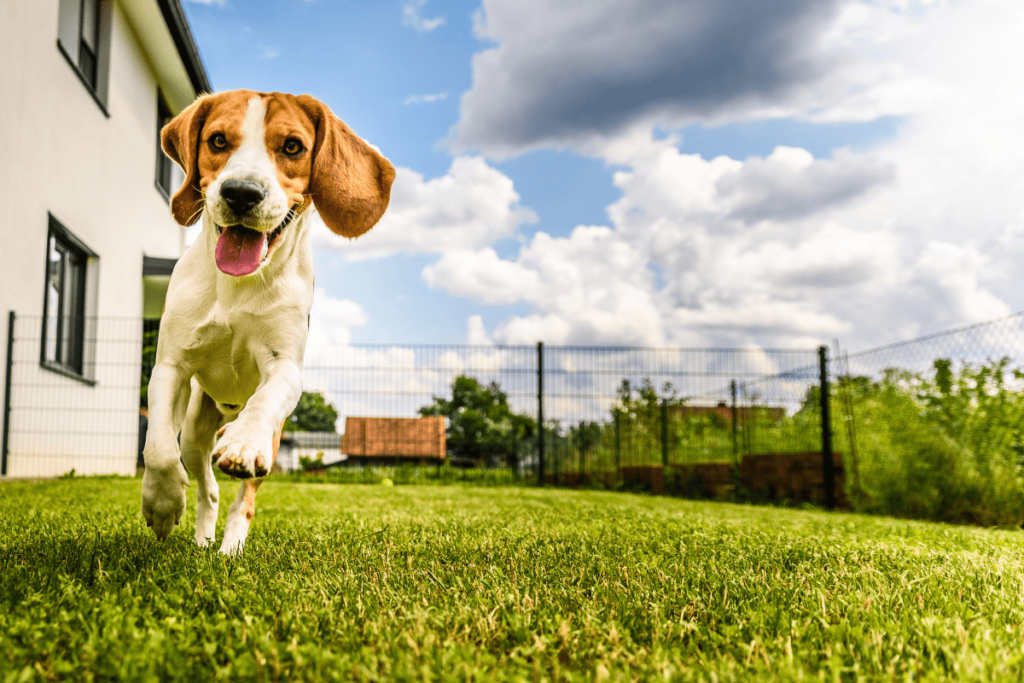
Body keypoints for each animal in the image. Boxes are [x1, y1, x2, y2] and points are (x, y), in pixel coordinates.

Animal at [146, 90, 393, 552]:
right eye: (218, 140)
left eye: (293, 146)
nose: (242, 193)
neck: (236, 286)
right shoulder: (171, 365)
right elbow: (157, 449)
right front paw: (163, 503)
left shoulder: (285, 367)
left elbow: (265, 401)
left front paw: (242, 443)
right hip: (195, 430)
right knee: (207, 487)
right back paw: (203, 540)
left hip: (275, 441)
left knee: (242, 500)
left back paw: (230, 548)